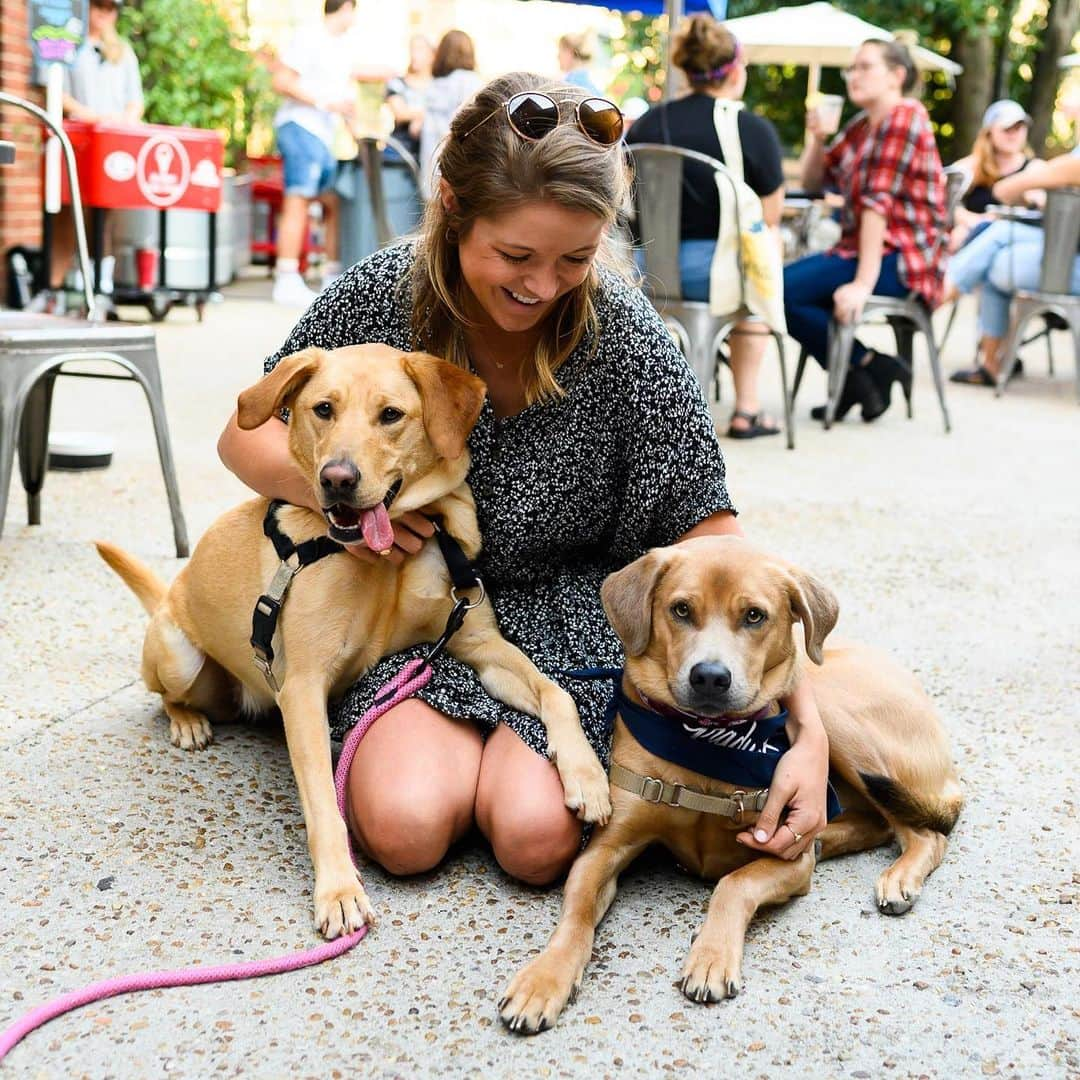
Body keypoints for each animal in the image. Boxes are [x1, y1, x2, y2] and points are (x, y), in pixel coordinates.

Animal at [98, 343, 613, 937]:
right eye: (323, 409)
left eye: (391, 415)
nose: (338, 478)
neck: (390, 556)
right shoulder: (302, 688)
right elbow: (324, 802)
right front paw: (339, 890)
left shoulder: (482, 647)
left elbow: (558, 692)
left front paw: (586, 774)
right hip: (180, 656)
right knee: (164, 694)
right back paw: (186, 722)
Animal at [501, 535, 967, 1032]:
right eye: (681, 609)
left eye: (755, 616)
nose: (709, 677)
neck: (705, 745)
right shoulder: (604, 849)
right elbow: (576, 915)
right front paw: (543, 979)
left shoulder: (789, 858)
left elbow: (733, 884)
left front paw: (711, 957)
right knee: (879, 824)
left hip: (837, 724)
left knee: (925, 831)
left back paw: (898, 878)